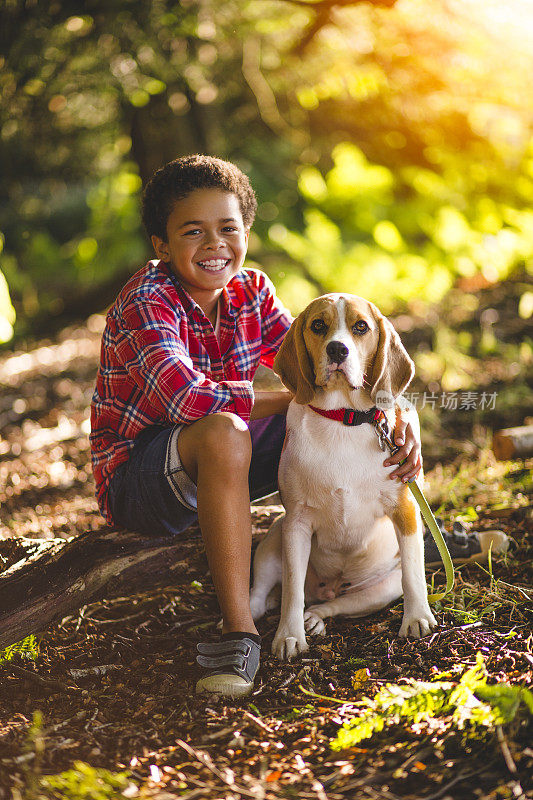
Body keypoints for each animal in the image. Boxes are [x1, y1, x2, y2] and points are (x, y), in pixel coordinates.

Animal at [249, 290, 436, 660]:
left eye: (360, 326)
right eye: (318, 325)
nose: (337, 350)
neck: (342, 418)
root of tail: (328, 589)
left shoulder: (405, 511)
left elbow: (414, 575)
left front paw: (417, 618)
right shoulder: (296, 524)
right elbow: (292, 591)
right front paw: (289, 635)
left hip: (379, 589)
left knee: (334, 606)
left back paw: (317, 617)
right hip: (273, 539)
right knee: (264, 596)